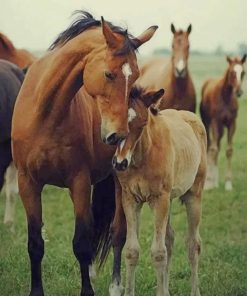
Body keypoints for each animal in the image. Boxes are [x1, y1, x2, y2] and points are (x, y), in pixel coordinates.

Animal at [11, 11, 158, 296]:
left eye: (134, 76)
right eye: (109, 74)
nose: (117, 135)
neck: (46, 114)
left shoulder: (78, 182)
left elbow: (81, 242)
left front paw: (88, 290)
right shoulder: (27, 183)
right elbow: (35, 243)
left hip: (117, 182)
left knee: (117, 233)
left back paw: (115, 285)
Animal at [112, 87, 206, 296]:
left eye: (142, 124)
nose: (120, 162)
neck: (141, 157)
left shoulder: (159, 199)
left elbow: (158, 253)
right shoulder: (130, 199)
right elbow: (132, 250)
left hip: (193, 196)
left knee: (193, 244)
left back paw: (194, 290)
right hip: (169, 200)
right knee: (170, 239)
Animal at [201, 54, 245, 191]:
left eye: (243, 72)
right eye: (232, 72)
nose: (239, 92)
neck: (225, 97)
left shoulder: (231, 123)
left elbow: (229, 150)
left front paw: (228, 183)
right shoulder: (216, 122)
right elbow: (214, 149)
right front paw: (209, 183)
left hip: (221, 128)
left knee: (218, 145)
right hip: (208, 123)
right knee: (211, 146)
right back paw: (212, 181)